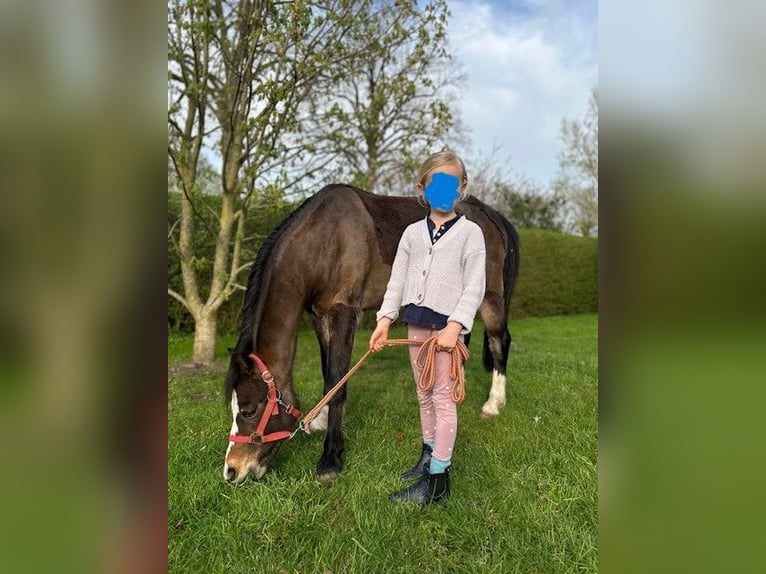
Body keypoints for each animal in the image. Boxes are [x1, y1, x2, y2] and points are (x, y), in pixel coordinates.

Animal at [224, 187, 520, 484]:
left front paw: (331, 458)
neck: (324, 239)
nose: (231, 470)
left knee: (499, 341)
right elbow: (328, 376)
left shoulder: (343, 312)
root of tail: (488, 214)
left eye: (249, 410)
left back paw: (493, 404)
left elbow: (338, 381)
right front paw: (320, 420)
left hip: (489, 295)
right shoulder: (320, 316)